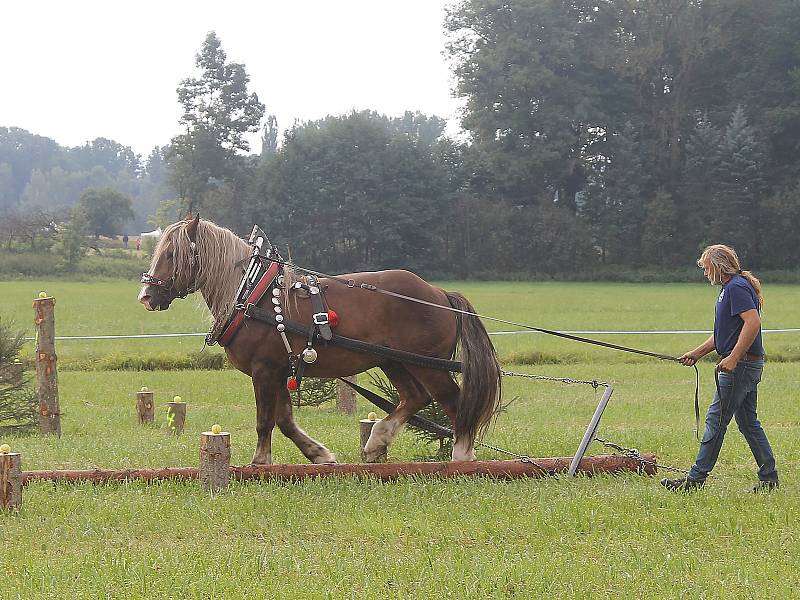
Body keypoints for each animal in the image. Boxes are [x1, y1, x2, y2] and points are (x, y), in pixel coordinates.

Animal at [138, 216, 500, 464]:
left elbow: (264, 421)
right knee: (415, 398)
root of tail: (439, 293)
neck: (250, 293)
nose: (146, 296)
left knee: (454, 402)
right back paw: (377, 441)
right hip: (394, 361)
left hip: (428, 364)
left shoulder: (264, 369)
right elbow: (284, 420)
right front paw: (318, 454)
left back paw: (462, 456)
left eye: (171, 254)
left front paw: (259, 462)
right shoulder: (280, 370)